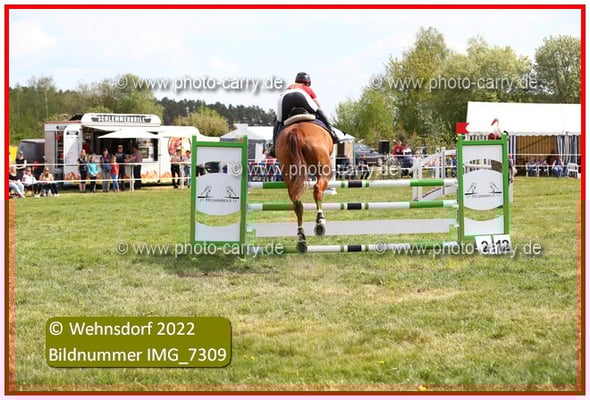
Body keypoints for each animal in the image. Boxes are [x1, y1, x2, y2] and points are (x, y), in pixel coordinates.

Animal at [275, 121, 334, 253]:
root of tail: (296, 132)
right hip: (324, 168)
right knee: (318, 189)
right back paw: (320, 222)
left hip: (289, 171)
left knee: (297, 203)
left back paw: (301, 238)